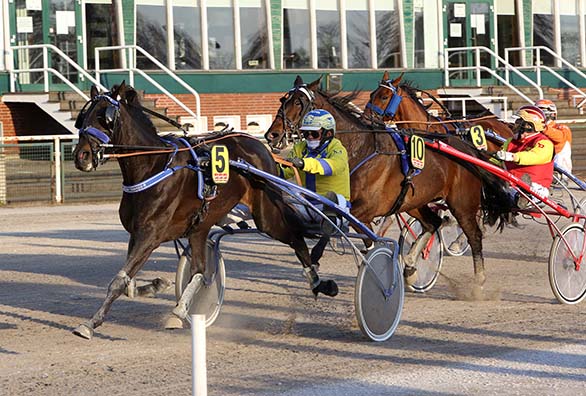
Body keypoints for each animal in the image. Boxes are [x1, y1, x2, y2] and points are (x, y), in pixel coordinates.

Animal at [73, 82, 338, 338]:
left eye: (104, 117)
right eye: (83, 117)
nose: (80, 156)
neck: (153, 166)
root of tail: (259, 146)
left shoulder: (150, 235)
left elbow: (118, 282)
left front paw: (90, 324)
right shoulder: (137, 234)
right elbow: (128, 282)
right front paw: (156, 285)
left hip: (267, 216)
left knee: (295, 238)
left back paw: (318, 282)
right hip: (200, 228)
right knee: (200, 270)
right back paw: (179, 311)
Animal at [264, 76, 512, 290]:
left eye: (299, 102)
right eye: (283, 100)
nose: (271, 135)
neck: (360, 148)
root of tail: (467, 149)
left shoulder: (366, 209)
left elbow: (360, 234)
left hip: (461, 204)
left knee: (473, 235)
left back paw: (477, 281)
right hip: (414, 202)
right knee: (433, 223)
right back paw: (410, 266)